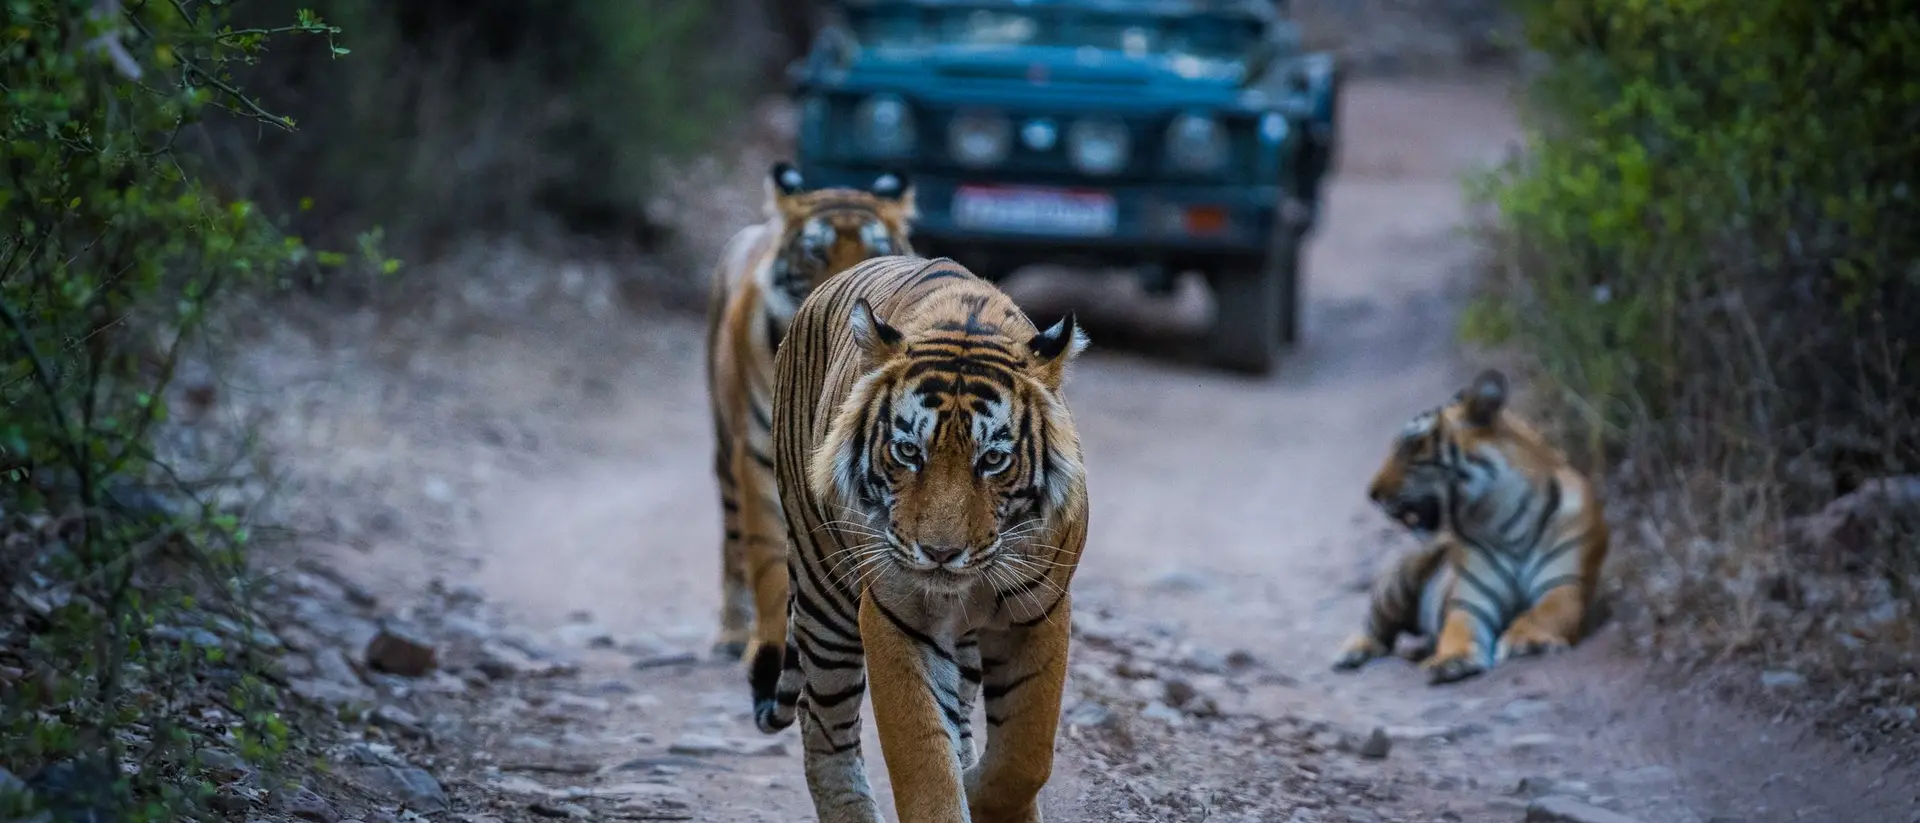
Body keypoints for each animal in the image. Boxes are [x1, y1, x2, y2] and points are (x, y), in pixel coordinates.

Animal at [705, 162, 917, 662]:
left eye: (877, 251)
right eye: (817, 252)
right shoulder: (758, 456)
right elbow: (765, 558)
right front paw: (767, 644)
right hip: (725, 445)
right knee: (732, 538)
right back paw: (731, 633)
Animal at [756, 255, 1091, 823]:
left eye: (993, 460)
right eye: (909, 452)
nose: (939, 554)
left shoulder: (1041, 611)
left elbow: (1026, 754)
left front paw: (984, 793)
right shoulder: (896, 616)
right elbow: (924, 759)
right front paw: (958, 791)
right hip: (824, 594)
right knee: (823, 724)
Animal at [1332, 368, 1610, 685]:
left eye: (1412, 445)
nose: (1372, 493)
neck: (1505, 518)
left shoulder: (1565, 585)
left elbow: (1544, 613)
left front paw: (1525, 641)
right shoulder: (1469, 601)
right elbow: (1458, 628)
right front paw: (1451, 660)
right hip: (1400, 579)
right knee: (1375, 626)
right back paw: (1350, 653)